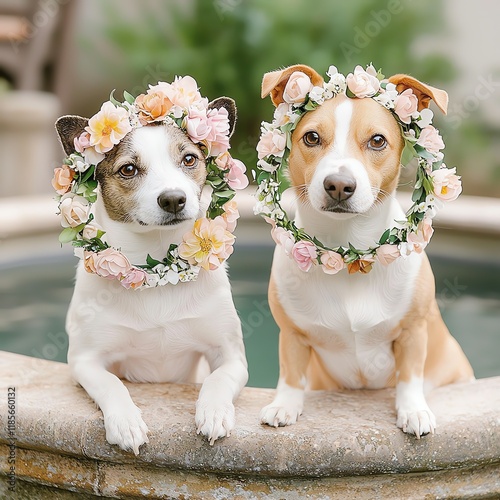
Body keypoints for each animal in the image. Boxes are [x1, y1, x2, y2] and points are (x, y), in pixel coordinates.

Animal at [55, 95, 248, 456]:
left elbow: (218, 379)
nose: (173, 199)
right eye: (128, 169)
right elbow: (112, 384)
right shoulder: (84, 361)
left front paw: (214, 412)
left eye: (189, 159)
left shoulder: (231, 356)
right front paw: (126, 422)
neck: (158, 269)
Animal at [260, 65, 474, 438]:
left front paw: (414, 411)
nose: (339, 185)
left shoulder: (413, 333)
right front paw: (284, 405)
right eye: (312, 138)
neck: (349, 254)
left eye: (377, 141)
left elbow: (410, 376)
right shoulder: (292, 335)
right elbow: (290, 373)